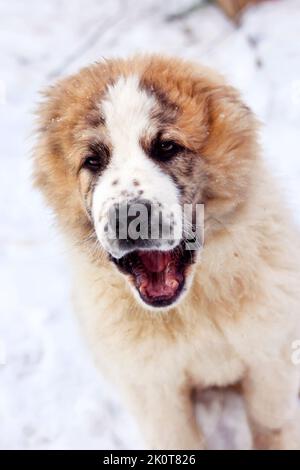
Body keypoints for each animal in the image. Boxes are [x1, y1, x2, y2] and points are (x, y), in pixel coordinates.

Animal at [32, 54, 300, 448]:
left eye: (166, 148)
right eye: (93, 161)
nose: (129, 216)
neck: (190, 310)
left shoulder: (269, 360)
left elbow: (273, 425)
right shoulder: (153, 390)